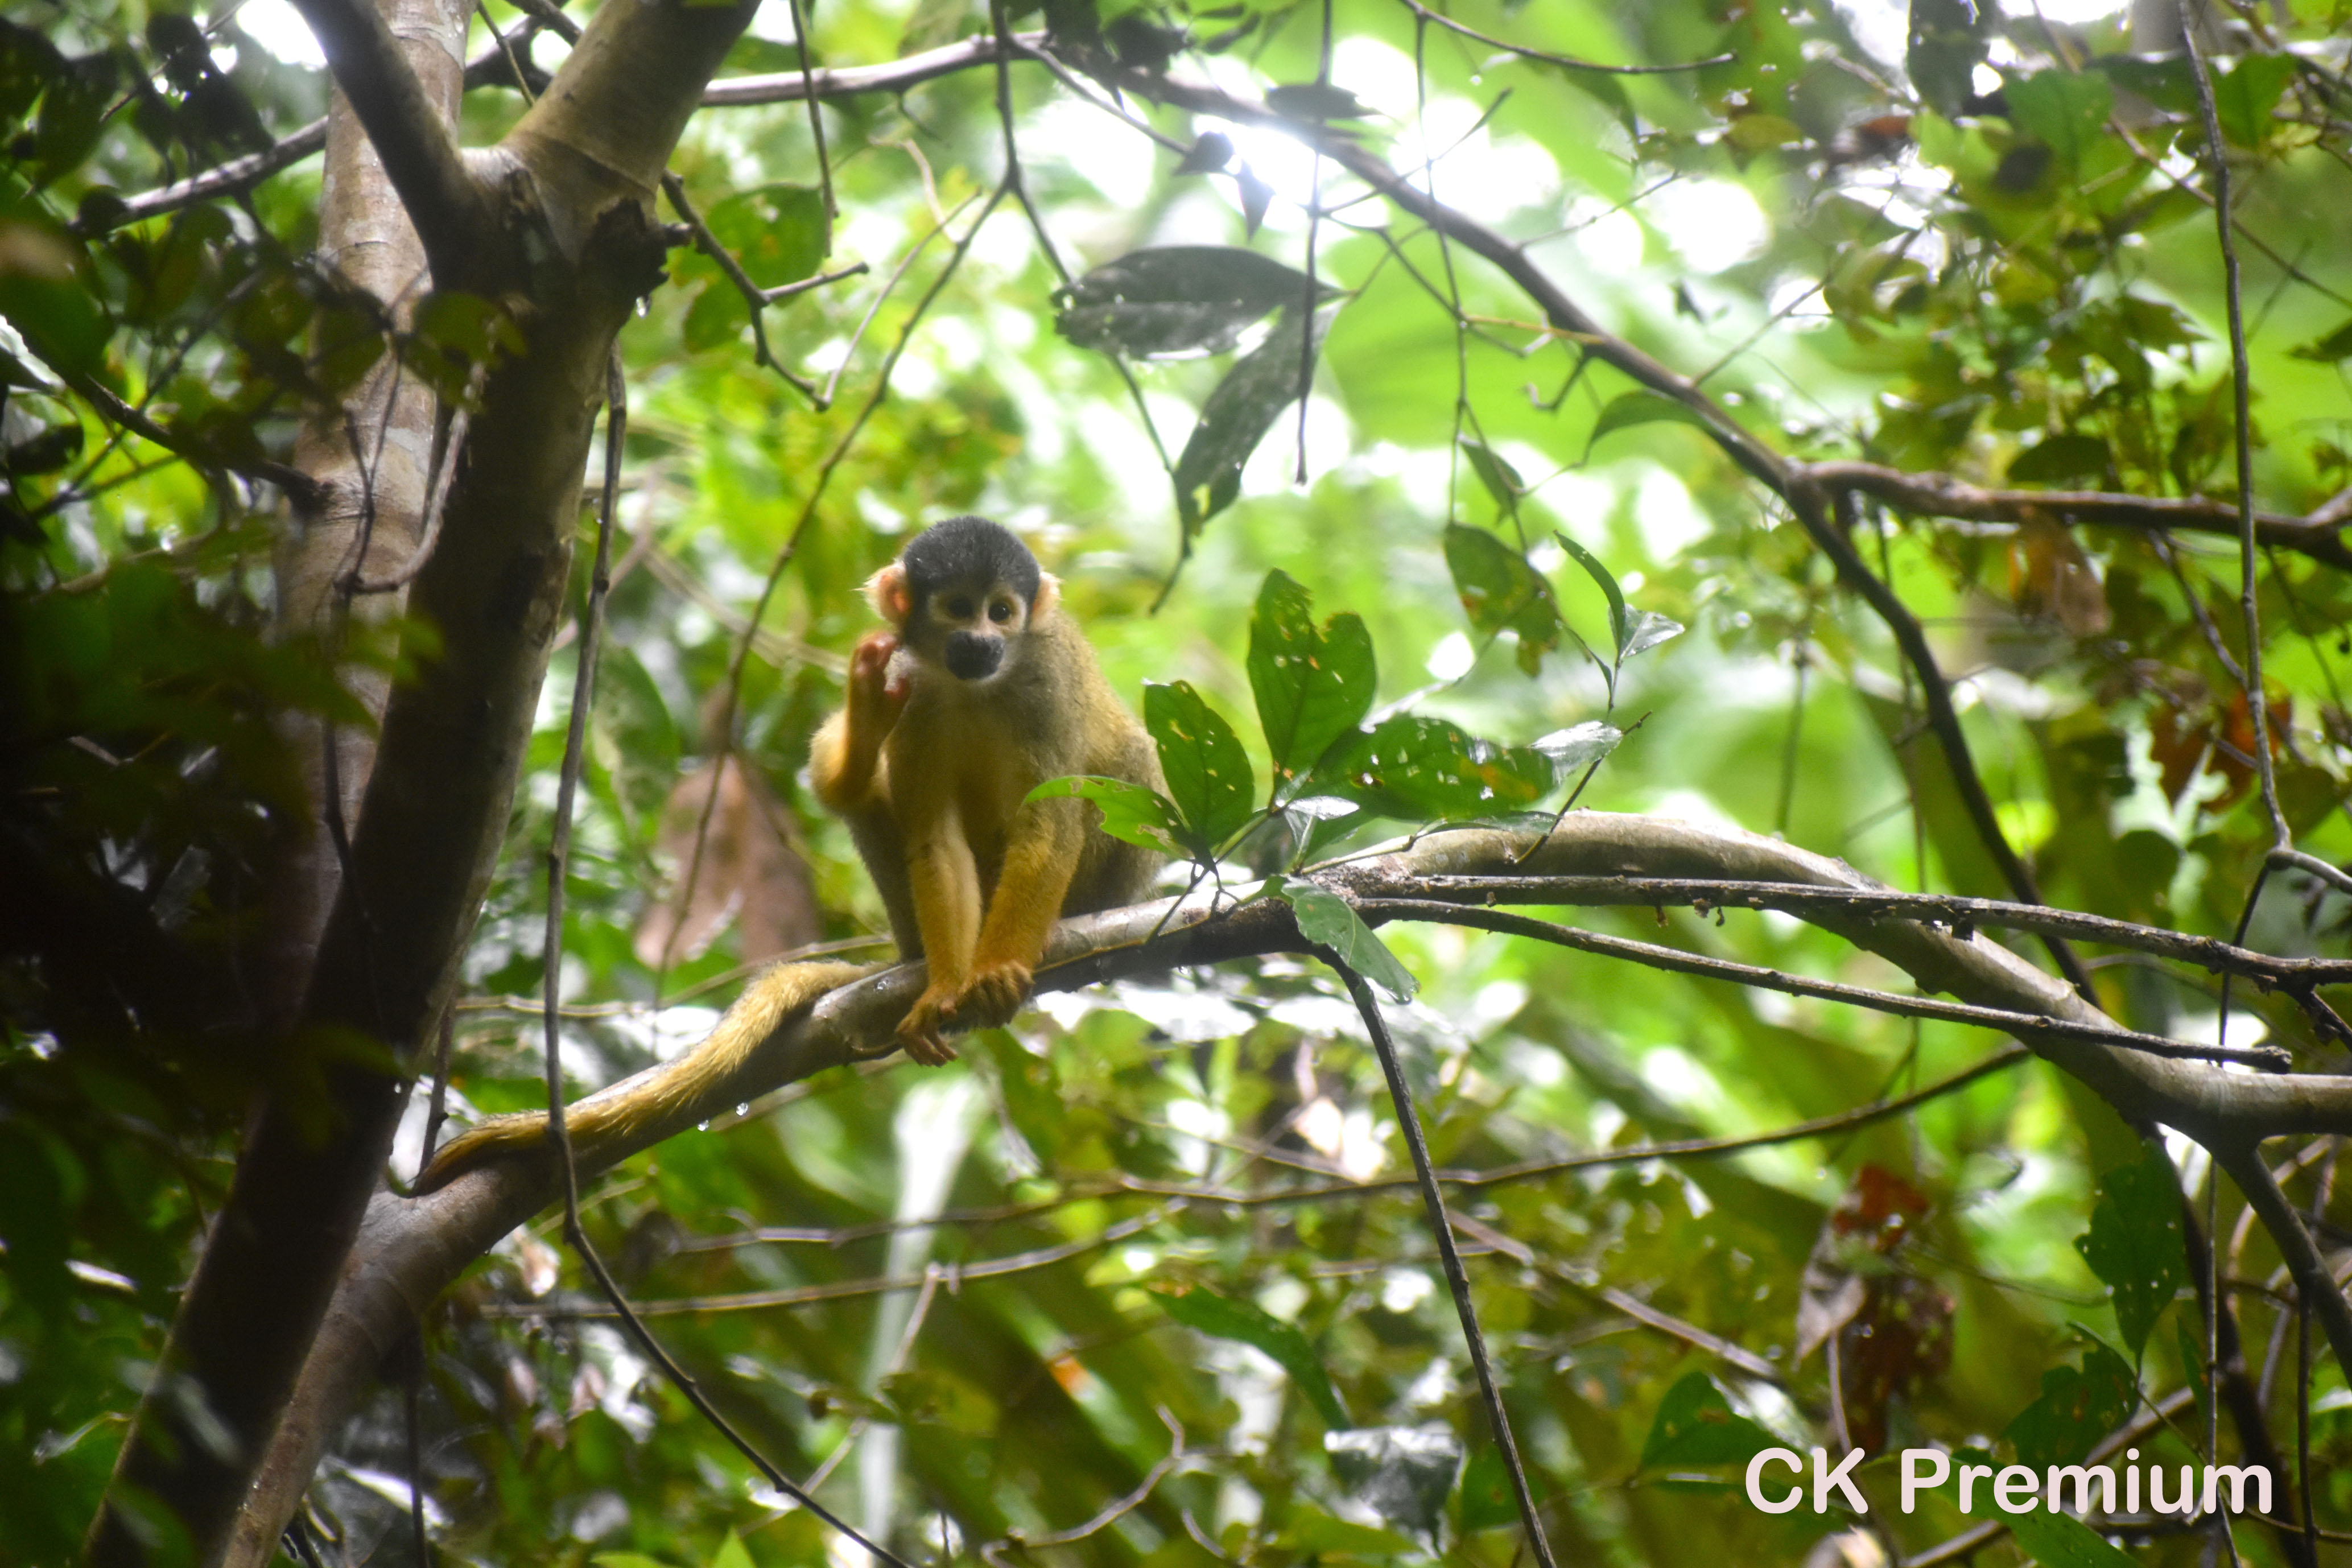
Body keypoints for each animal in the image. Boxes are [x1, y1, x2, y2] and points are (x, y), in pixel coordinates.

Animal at [420, 514, 1166, 1189]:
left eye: (1003, 612)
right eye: (959, 607)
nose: (982, 640)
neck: (970, 684)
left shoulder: (1048, 678)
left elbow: (1052, 824)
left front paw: (998, 970)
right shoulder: (913, 682)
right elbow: (935, 837)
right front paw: (950, 985)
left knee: (1130, 759)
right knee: (867, 794)